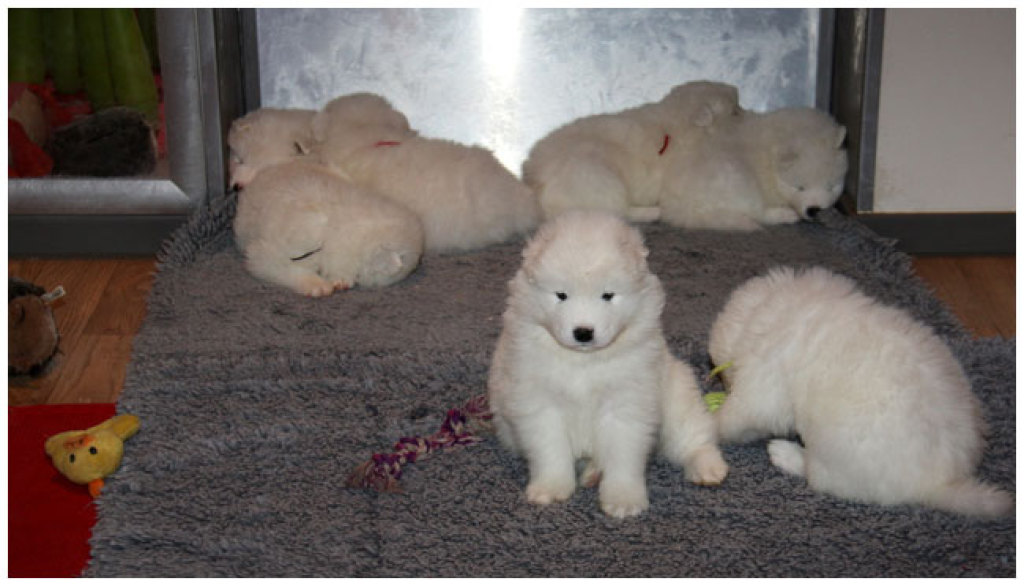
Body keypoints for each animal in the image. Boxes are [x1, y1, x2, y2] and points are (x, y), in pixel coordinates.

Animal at [488, 211, 728, 518]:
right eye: (561, 295)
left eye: (608, 295)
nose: (583, 332)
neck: (583, 361)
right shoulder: (539, 402)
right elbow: (550, 449)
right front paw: (551, 488)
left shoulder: (627, 403)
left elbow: (623, 456)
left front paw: (623, 498)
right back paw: (591, 473)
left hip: (678, 397)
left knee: (693, 438)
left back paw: (708, 468)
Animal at [522, 81, 742, 222]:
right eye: (735, 111)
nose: (744, 110)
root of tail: (535, 184)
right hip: (601, 181)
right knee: (619, 212)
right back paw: (656, 212)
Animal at [708, 266, 1013, 517]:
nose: (722, 383)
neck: (764, 310)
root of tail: (940, 483)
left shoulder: (763, 384)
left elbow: (737, 417)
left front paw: (712, 420)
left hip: (834, 453)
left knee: (816, 475)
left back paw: (785, 453)